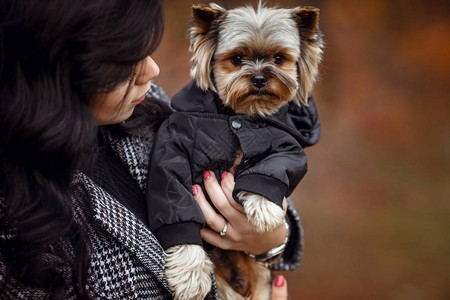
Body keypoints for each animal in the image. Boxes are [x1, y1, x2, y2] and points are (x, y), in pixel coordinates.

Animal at [151, 2, 324, 300]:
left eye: (279, 59)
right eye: (237, 59)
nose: (259, 78)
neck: (243, 113)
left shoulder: (289, 146)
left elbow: (274, 166)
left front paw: (264, 208)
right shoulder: (171, 147)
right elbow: (174, 196)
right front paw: (189, 274)